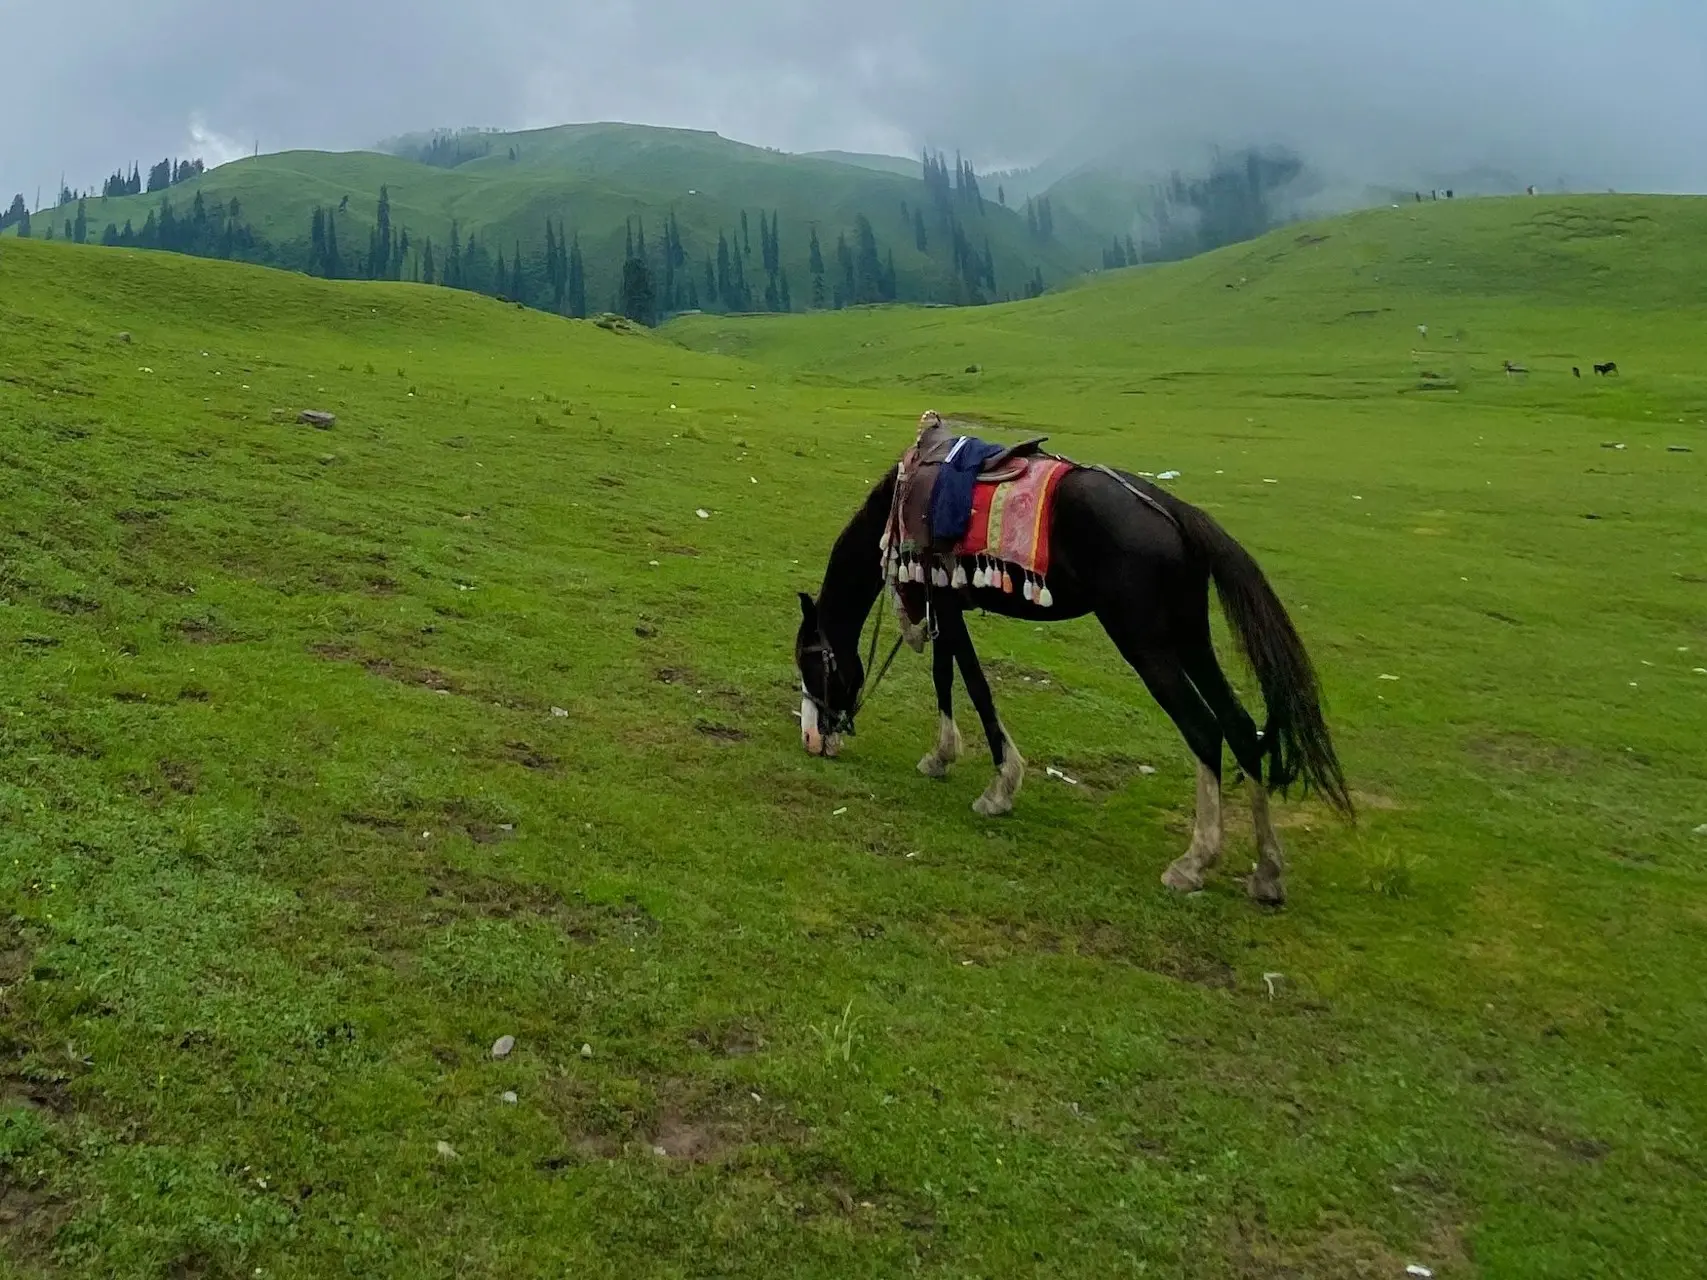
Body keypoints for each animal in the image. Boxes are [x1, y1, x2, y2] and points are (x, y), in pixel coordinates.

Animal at [792, 447, 1351, 907]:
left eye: (809, 663)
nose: (813, 739)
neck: (901, 505)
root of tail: (1174, 511)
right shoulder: (946, 602)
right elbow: (945, 675)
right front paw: (941, 756)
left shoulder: (944, 601)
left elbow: (972, 682)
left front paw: (1000, 787)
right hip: (1191, 636)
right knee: (1239, 725)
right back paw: (1267, 872)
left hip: (1145, 642)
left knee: (1203, 728)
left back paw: (1192, 863)